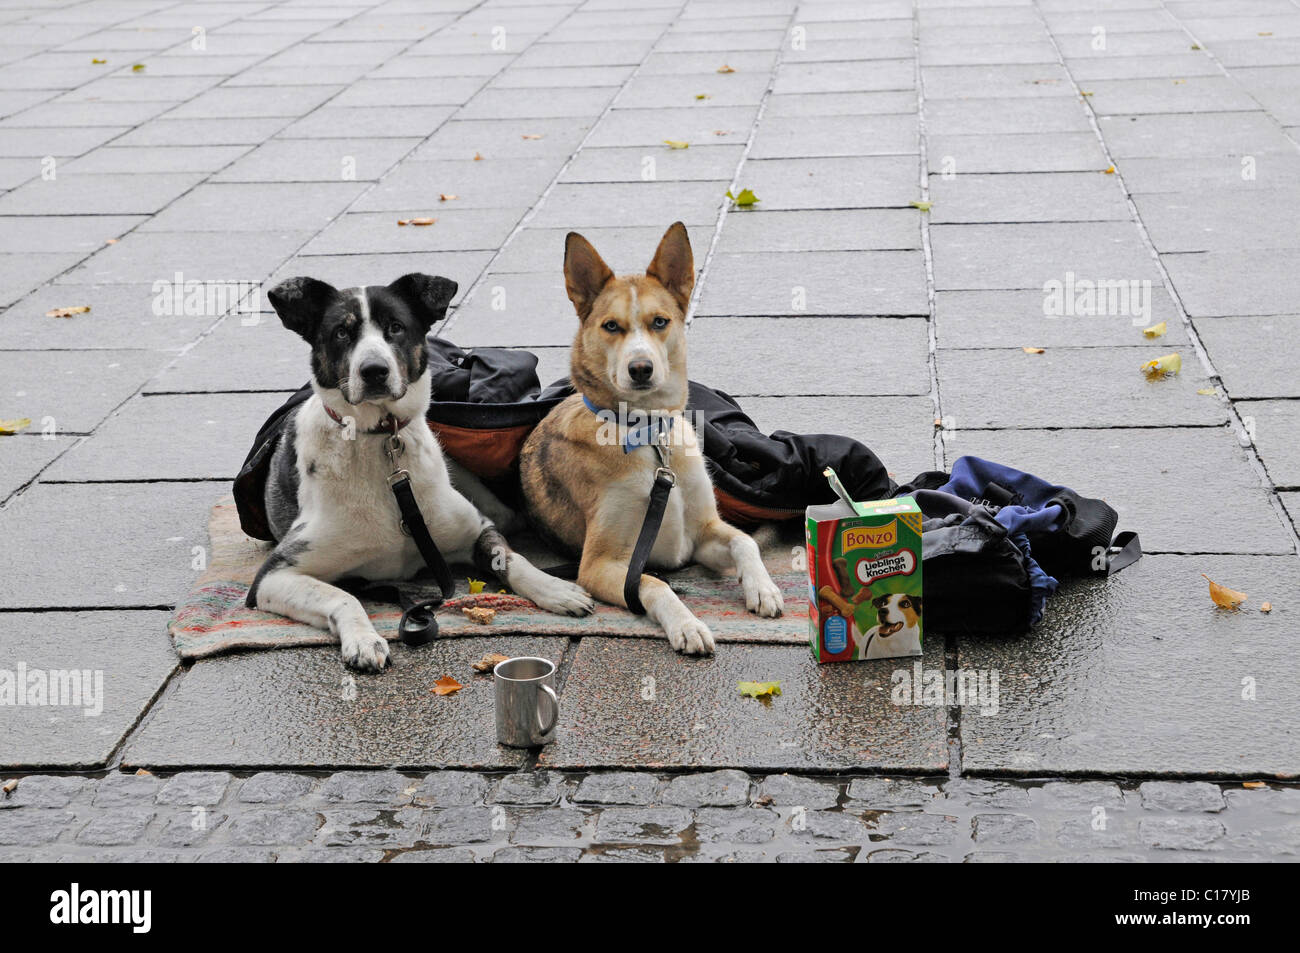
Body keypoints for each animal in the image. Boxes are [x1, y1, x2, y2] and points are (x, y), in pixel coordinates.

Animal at [246, 271, 595, 670]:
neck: (382, 444)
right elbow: (343, 596)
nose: (374, 370)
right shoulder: (274, 575)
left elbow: (511, 559)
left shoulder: (478, 529)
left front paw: (555, 589)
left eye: (396, 327)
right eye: (341, 332)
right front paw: (364, 639)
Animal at [517, 223, 780, 655]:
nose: (640, 368)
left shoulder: (700, 535)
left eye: (659, 322)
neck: (650, 434)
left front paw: (763, 588)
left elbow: (746, 541)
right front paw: (687, 624)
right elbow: (654, 583)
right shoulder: (599, 566)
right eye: (611, 326)